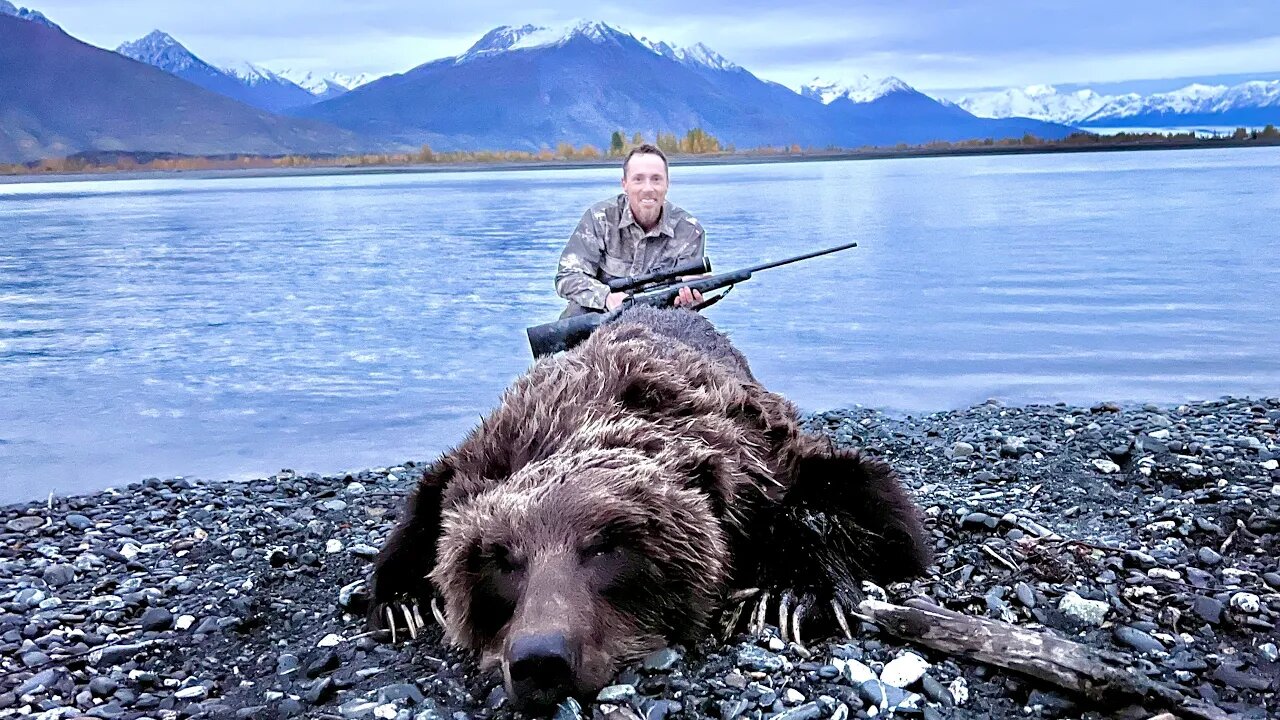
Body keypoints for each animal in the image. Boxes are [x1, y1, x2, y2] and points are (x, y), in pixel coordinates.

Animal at [366, 303, 926, 712]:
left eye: (604, 547)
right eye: (501, 559)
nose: (539, 659)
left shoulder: (762, 458)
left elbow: (885, 520)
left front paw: (794, 592)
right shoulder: (480, 455)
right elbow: (425, 504)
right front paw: (405, 601)